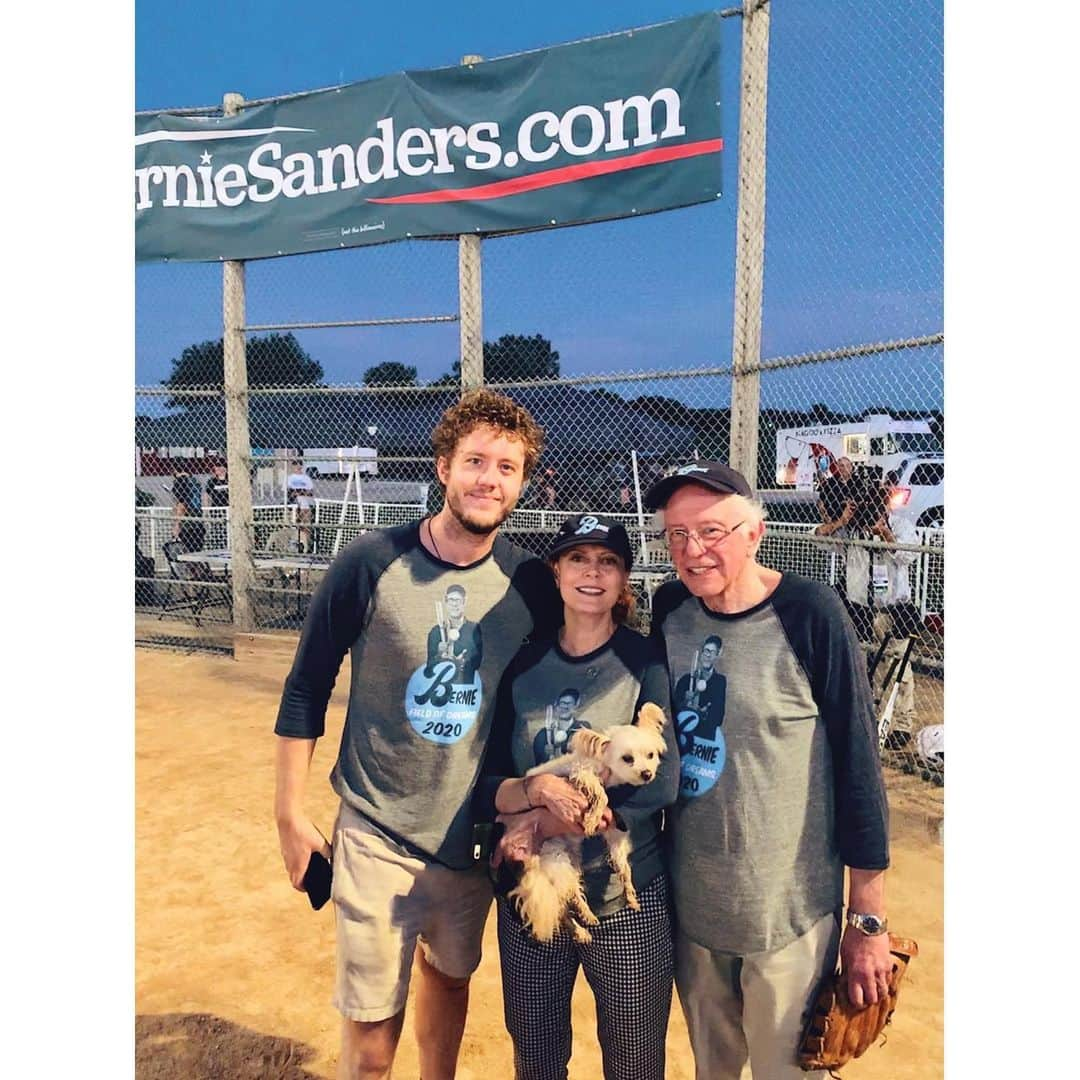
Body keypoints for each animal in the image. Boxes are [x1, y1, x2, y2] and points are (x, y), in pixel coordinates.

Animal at [507, 699, 665, 946]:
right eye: (627, 759)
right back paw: (587, 917)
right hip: (558, 860)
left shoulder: (614, 835)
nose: (647, 773)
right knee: (571, 896)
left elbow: (624, 869)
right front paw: (592, 818)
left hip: (572, 861)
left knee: (563, 908)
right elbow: (602, 795)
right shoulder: (581, 773)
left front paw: (630, 894)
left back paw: (580, 930)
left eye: (651, 755)